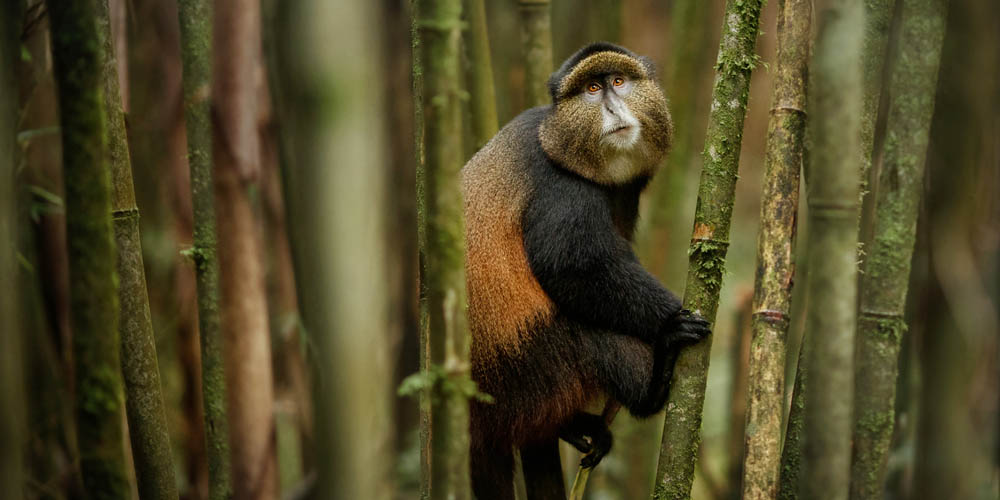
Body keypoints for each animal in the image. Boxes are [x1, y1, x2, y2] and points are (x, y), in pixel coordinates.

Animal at [461, 42, 711, 500]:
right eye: (592, 89)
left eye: (618, 82)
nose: (612, 108)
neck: (556, 137)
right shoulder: (562, 189)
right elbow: (573, 268)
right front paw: (670, 321)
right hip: (526, 363)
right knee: (590, 331)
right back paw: (653, 384)